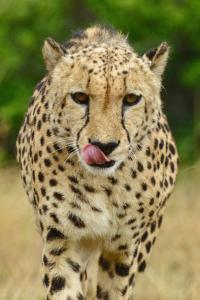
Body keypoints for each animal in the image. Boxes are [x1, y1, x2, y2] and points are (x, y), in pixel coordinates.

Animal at [15, 26, 178, 300]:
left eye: (131, 99)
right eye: (80, 97)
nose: (104, 146)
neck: (105, 184)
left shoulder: (124, 249)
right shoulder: (63, 240)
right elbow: (64, 288)